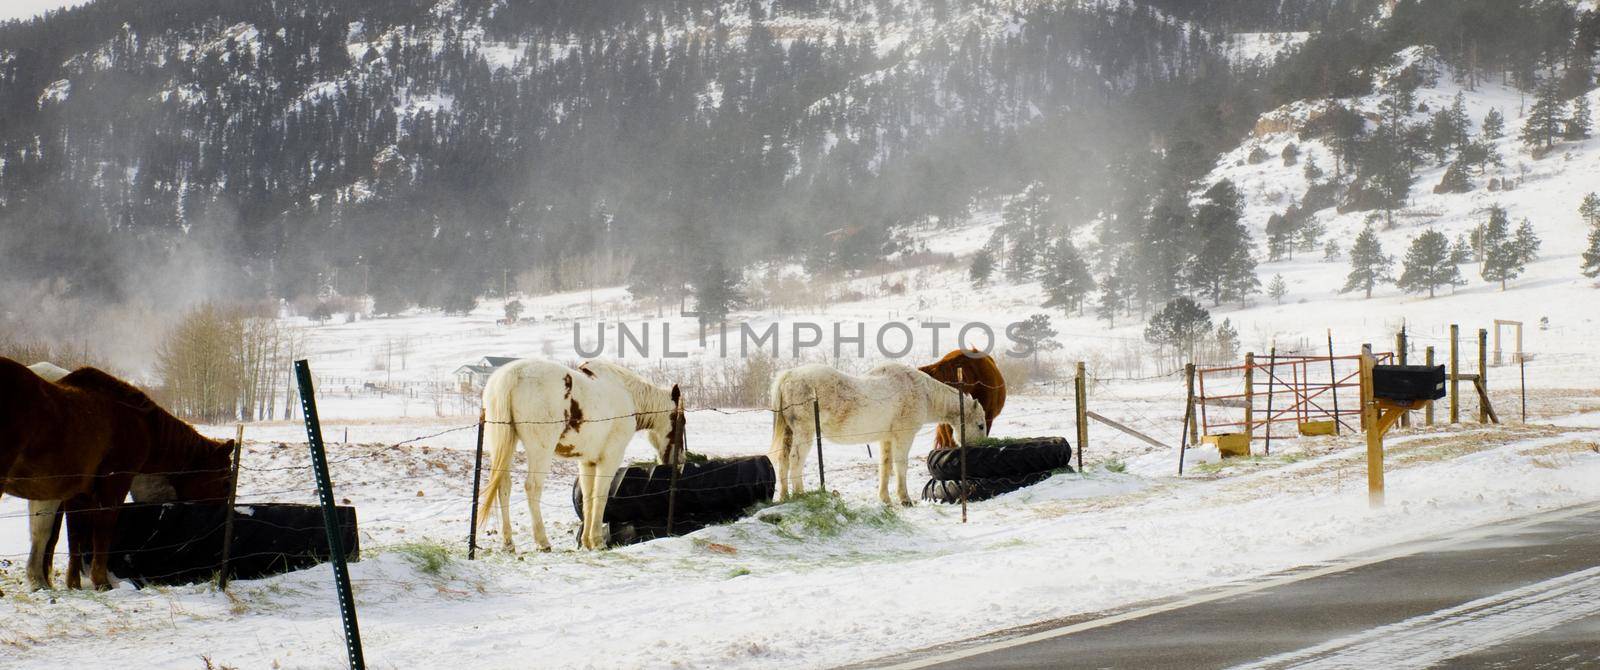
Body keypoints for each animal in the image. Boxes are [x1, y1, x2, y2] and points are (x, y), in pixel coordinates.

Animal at [0, 359, 235, 591]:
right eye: (225, 483)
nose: (223, 521)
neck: (137, 421)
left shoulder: (77, 495)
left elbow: (75, 536)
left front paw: (73, 583)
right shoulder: (114, 485)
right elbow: (101, 532)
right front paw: (100, 581)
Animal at [467, 359, 681, 553]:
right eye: (680, 420)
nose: (678, 461)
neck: (626, 394)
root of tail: (512, 375)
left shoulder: (587, 462)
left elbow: (587, 497)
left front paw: (587, 541)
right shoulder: (610, 459)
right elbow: (600, 496)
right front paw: (597, 541)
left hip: (504, 445)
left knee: (503, 486)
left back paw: (508, 543)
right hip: (540, 451)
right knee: (532, 487)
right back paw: (542, 542)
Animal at [764, 364, 979, 505]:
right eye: (980, 425)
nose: (977, 448)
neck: (923, 392)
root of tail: (788, 376)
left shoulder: (886, 439)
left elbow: (884, 467)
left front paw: (885, 499)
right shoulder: (903, 436)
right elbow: (900, 466)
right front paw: (904, 499)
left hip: (790, 433)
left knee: (783, 460)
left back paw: (784, 497)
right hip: (805, 433)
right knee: (795, 460)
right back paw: (800, 494)